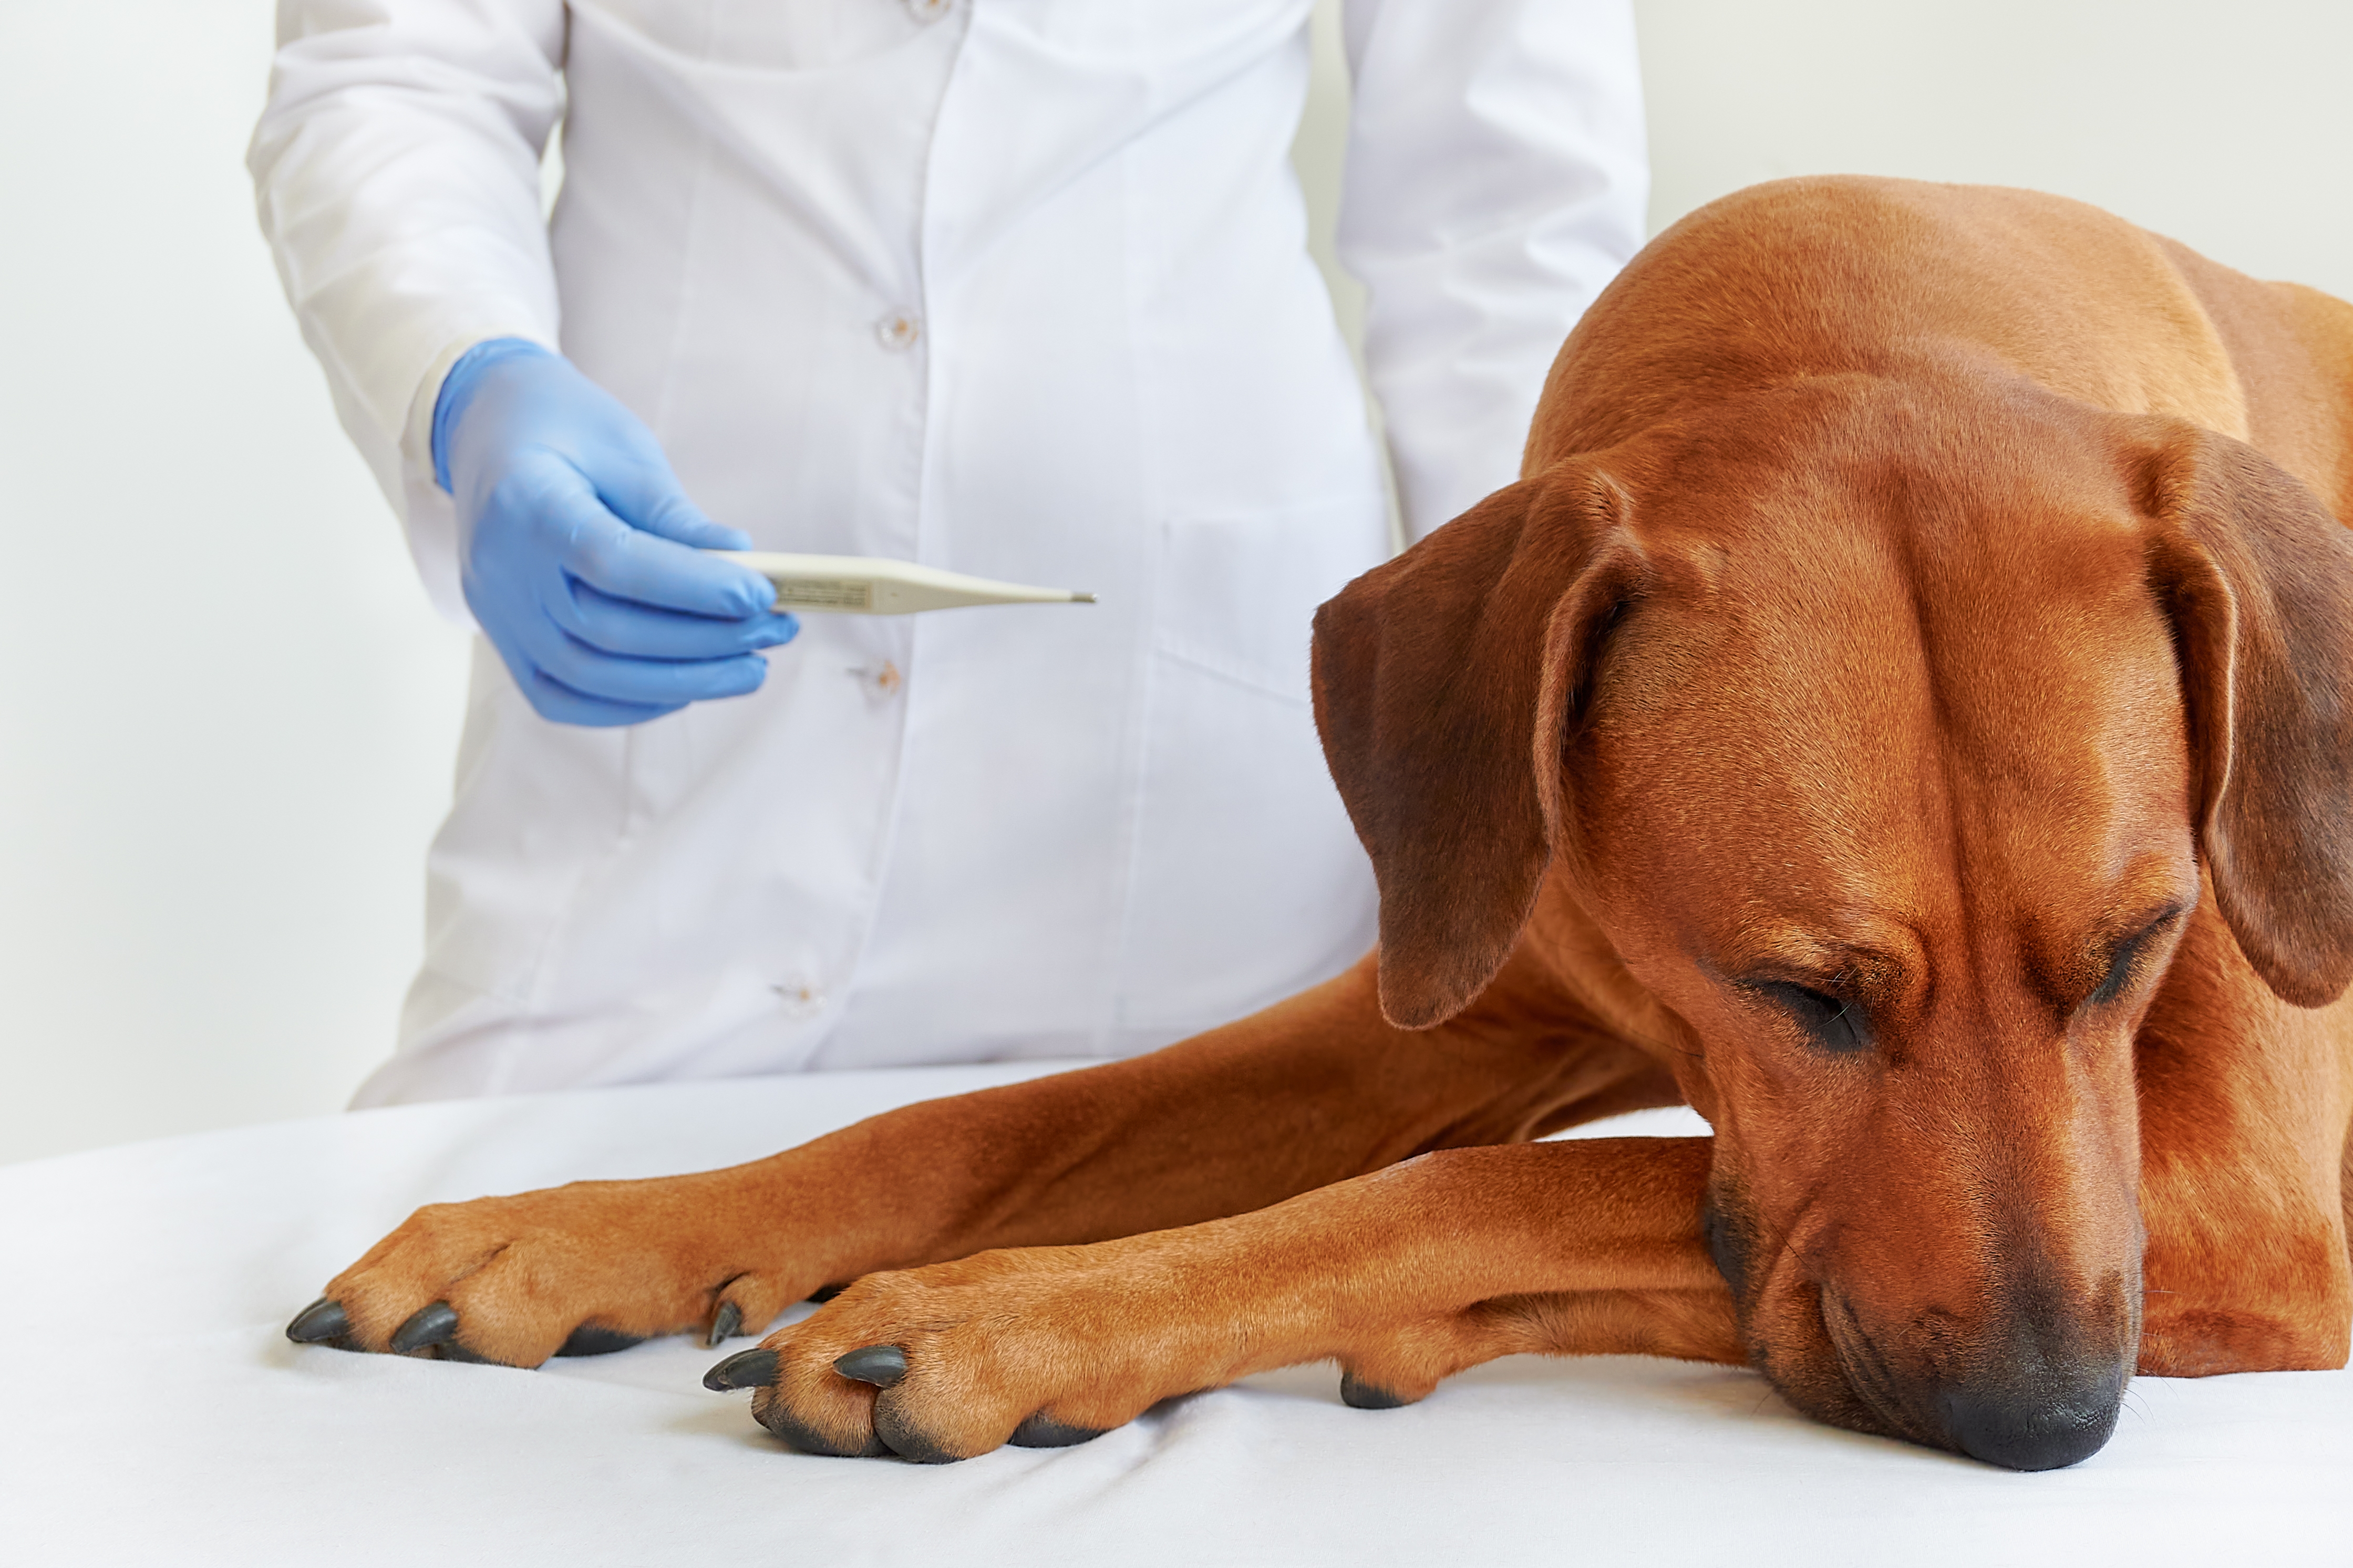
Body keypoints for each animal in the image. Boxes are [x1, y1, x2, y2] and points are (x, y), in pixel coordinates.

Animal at [289, 181, 2353, 1476]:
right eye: (1798, 995)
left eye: (2137, 946)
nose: (2051, 1418)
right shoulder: (1477, 977)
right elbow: (974, 1120)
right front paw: (585, 1224)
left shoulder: (2255, 1214)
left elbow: (1496, 1187)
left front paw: (1005, 1321)